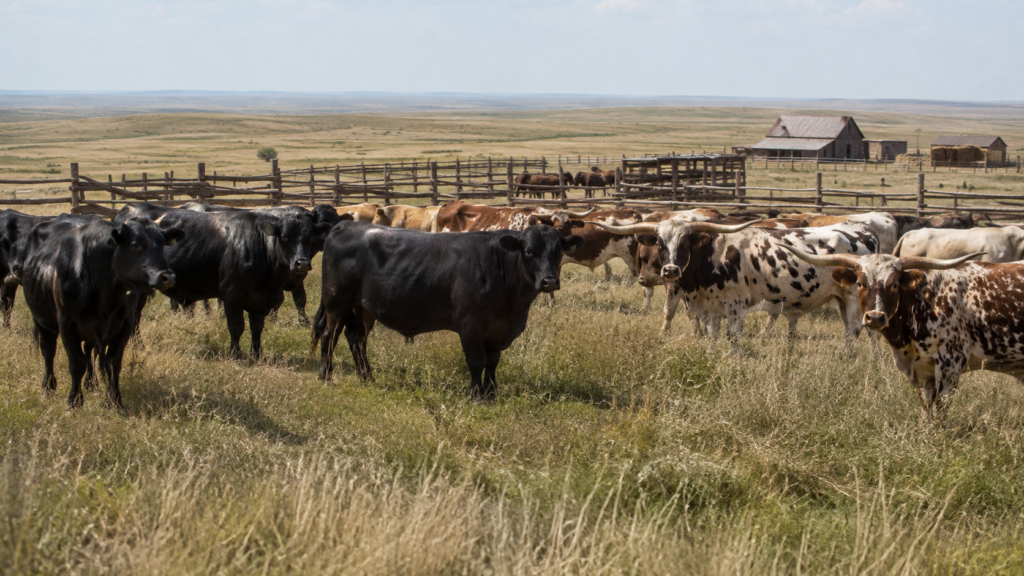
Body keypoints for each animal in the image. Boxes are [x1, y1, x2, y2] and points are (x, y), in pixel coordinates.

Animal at [22, 218, 182, 410]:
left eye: (162, 244)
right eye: (135, 244)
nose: (168, 277)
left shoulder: (125, 324)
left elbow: (112, 363)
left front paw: (115, 401)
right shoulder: (66, 323)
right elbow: (77, 363)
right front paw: (74, 401)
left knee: (88, 350)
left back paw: (91, 382)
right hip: (43, 322)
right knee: (48, 351)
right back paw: (48, 387)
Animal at [114, 202, 334, 358]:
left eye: (308, 237)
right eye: (285, 237)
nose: (301, 263)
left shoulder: (262, 300)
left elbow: (257, 328)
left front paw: (257, 354)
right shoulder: (231, 297)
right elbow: (236, 327)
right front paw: (235, 355)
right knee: (133, 318)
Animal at [310, 222, 584, 399]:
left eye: (558, 251)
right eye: (528, 251)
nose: (549, 281)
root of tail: (346, 224)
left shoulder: (497, 329)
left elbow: (492, 362)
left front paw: (492, 392)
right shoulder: (469, 325)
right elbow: (476, 361)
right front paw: (476, 395)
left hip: (362, 308)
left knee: (356, 339)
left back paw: (367, 377)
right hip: (336, 303)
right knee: (329, 336)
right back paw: (325, 376)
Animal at [596, 219, 879, 347]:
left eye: (686, 242)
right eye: (659, 242)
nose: (671, 269)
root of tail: (862, 231)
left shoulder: (737, 306)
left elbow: (733, 338)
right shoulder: (710, 309)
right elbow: (711, 336)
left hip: (854, 300)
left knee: (855, 330)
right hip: (844, 301)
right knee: (862, 331)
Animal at [781, 248, 1003, 422]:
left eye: (895, 284)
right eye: (860, 283)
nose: (875, 317)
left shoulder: (950, 365)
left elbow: (940, 408)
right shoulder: (925, 371)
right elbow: (926, 406)